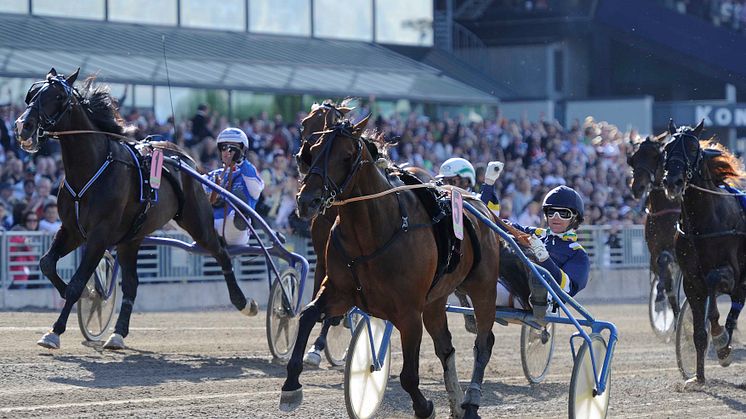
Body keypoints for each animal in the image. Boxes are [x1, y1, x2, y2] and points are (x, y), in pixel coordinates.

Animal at [13, 69, 258, 352]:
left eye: (57, 96)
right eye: (32, 93)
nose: (22, 126)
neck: (93, 167)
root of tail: (185, 158)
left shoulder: (100, 235)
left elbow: (76, 284)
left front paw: (55, 330)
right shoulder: (72, 230)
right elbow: (47, 264)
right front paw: (87, 297)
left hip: (197, 222)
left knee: (221, 252)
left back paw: (244, 302)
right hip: (132, 238)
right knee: (132, 284)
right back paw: (117, 334)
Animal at [284, 115, 500, 419]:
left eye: (346, 156)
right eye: (311, 151)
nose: (307, 201)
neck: (372, 232)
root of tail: (480, 205)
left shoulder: (409, 313)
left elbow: (409, 376)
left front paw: (424, 407)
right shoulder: (339, 292)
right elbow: (308, 315)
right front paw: (291, 385)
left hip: (483, 288)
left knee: (483, 342)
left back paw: (470, 402)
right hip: (435, 301)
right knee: (445, 347)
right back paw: (457, 402)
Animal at [660, 119, 740, 388]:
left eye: (694, 148)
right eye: (666, 148)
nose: (672, 181)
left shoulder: (731, 272)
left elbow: (714, 284)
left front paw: (720, 336)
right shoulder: (692, 281)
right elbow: (698, 333)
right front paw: (698, 377)